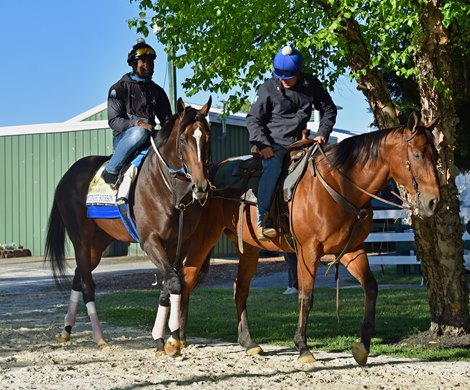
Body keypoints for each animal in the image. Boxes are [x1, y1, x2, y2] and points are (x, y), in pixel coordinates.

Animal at [44, 97, 213, 356]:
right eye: (184, 139)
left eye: (207, 137)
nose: (201, 186)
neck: (170, 190)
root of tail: (68, 176)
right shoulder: (150, 241)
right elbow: (174, 282)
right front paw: (172, 339)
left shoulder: (179, 244)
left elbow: (171, 284)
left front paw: (165, 338)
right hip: (81, 240)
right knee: (87, 285)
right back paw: (99, 338)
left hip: (97, 245)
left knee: (78, 278)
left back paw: (66, 330)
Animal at [179, 112, 440, 366]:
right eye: (417, 154)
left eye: (436, 154)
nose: (433, 202)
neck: (339, 185)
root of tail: (205, 180)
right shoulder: (308, 251)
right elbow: (306, 297)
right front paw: (303, 347)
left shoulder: (351, 250)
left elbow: (371, 288)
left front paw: (363, 345)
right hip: (203, 238)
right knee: (188, 278)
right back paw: (178, 338)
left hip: (250, 248)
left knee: (240, 288)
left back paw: (248, 342)